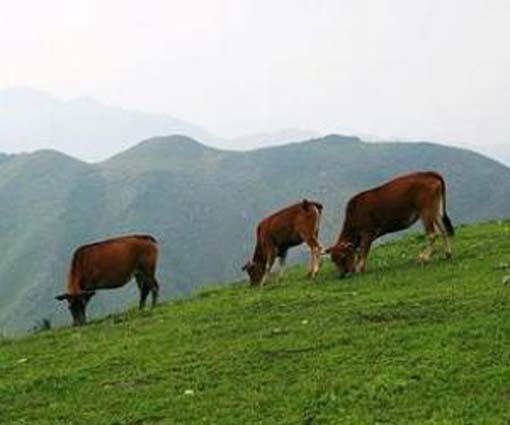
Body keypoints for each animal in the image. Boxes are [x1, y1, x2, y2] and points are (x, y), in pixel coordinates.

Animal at [326, 171, 454, 277]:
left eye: (343, 257)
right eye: (333, 260)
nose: (341, 275)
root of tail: (429, 174)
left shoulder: (367, 233)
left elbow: (363, 251)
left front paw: (359, 269)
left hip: (425, 210)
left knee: (432, 234)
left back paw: (425, 258)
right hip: (435, 210)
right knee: (444, 230)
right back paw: (447, 254)